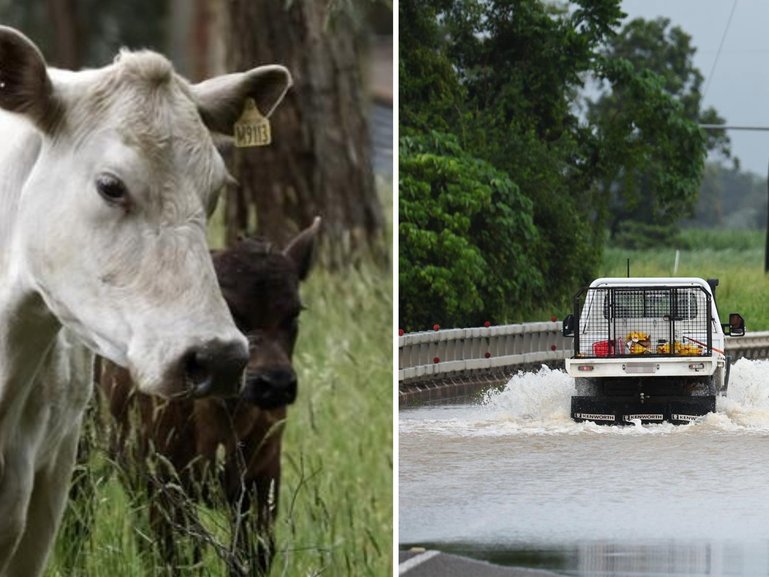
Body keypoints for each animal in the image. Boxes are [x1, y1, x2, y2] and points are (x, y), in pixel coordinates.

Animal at [96, 218, 319, 576]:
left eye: (294, 313)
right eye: (230, 310)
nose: (275, 383)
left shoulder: (261, 481)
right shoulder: (162, 482)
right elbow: (180, 557)